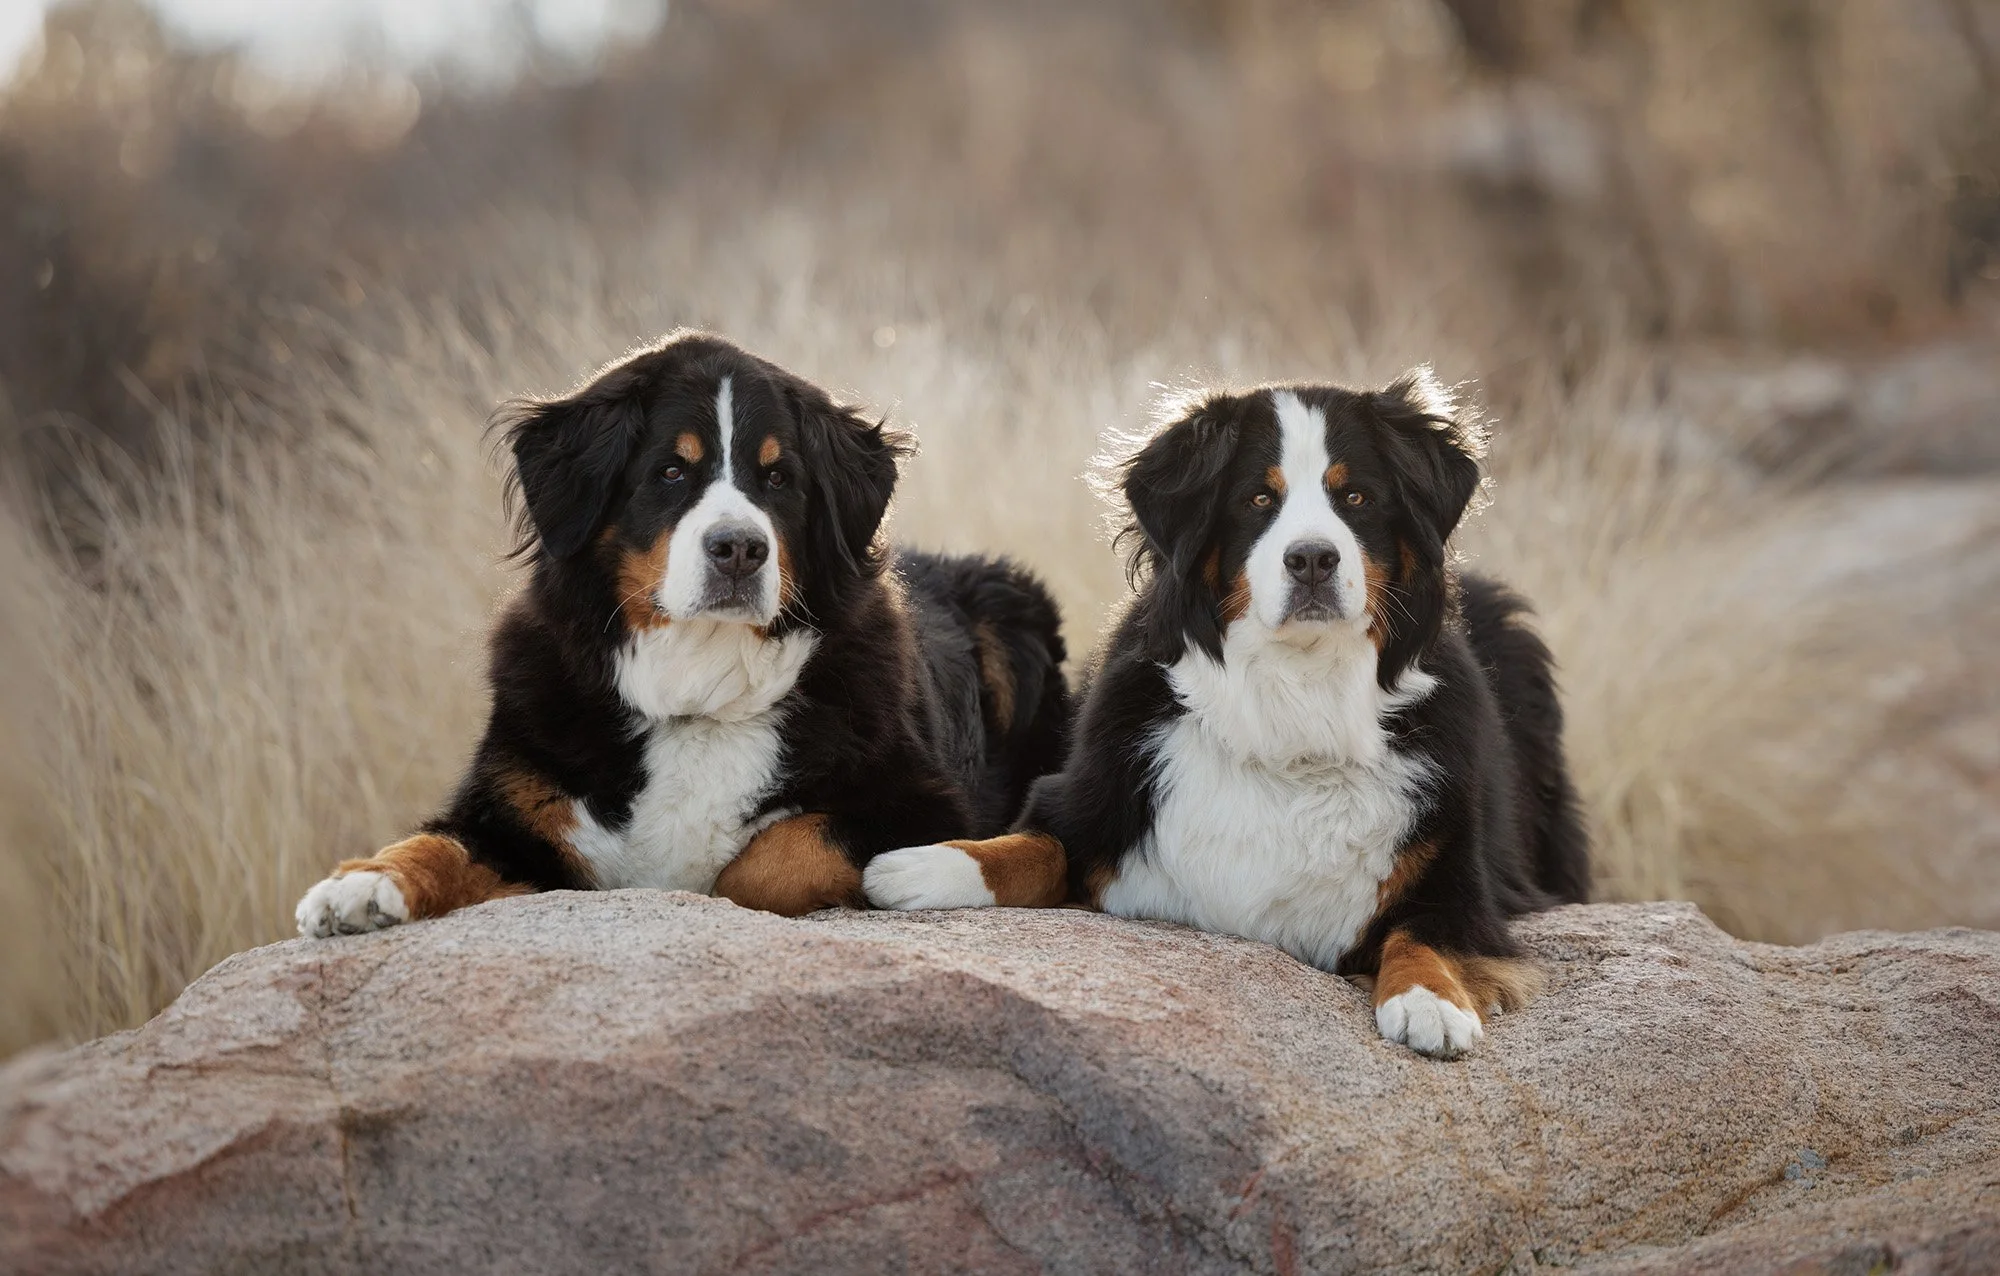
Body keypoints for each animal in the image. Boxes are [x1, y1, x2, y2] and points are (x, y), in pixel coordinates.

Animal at [297, 332, 1067, 937]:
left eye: (778, 477)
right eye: (670, 471)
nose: (739, 549)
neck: (700, 689)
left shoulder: (926, 804)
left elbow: (776, 854)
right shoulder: (522, 811)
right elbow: (438, 843)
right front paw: (358, 887)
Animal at [864, 371, 1588, 1057]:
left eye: (1357, 498)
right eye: (1258, 500)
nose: (1312, 559)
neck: (1297, 695)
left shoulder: (1459, 877)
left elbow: (1425, 934)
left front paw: (1429, 1005)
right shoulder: (1098, 795)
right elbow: (1029, 845)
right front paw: (917, 867)